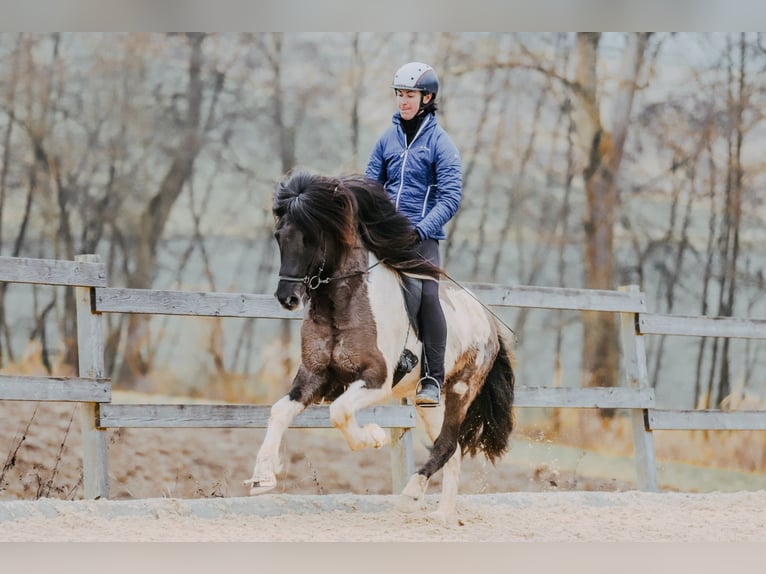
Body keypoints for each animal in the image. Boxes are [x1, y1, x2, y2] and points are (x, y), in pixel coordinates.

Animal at [245, 169, 516, 523]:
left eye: (311, 238)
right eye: (279, 236)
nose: (287, 298)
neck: (342, 305)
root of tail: (488, 321)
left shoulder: (376, 380)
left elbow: (339, 411)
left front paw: (373, 437)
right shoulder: (314, 375)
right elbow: (280, 410)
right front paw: (263, 476)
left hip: (460, 389)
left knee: (446, 444)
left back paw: (410, 496)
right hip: (428, 403)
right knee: (452, 450)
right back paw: (441, 514)